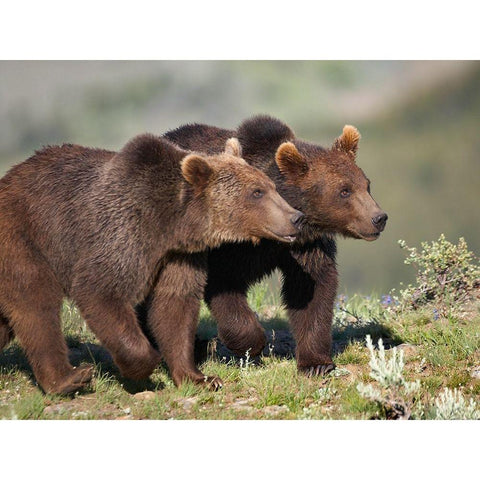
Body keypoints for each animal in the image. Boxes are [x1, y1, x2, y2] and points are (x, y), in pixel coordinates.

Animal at [0, 132, 302, 394]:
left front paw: (200, 378)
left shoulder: (179, 257)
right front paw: (142, 365)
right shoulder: (123, 232)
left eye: (271, 186)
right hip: (24, 236)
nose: (296, 217)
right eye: (257, 192)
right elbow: (100, 289)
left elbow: (174, 307)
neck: (170, 224)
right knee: (36, 302)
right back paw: (69, 378)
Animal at [163, 115, 388, 376]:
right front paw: (251, 343)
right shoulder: (232, 245)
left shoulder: (306, 246)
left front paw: (316, 363)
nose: (379, 218)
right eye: (344, 191)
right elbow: (223, 281)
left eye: (366, 184)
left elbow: (312, 288)